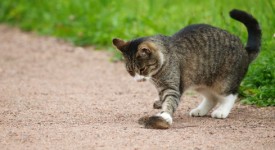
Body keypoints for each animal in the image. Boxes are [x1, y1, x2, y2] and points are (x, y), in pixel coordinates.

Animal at [112, 9, 264, 129]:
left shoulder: (172, 87)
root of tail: (245, 50)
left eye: (142, 69)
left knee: (231, 95)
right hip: (200, 80)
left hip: (224, 82)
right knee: (212, 98)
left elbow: (170, 101)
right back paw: (200, 110)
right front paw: (160, 106)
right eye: (130, 72)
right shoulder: (164, 87)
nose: (138, 80)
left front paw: (165, 116)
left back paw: (222, 111)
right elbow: (163, 99)